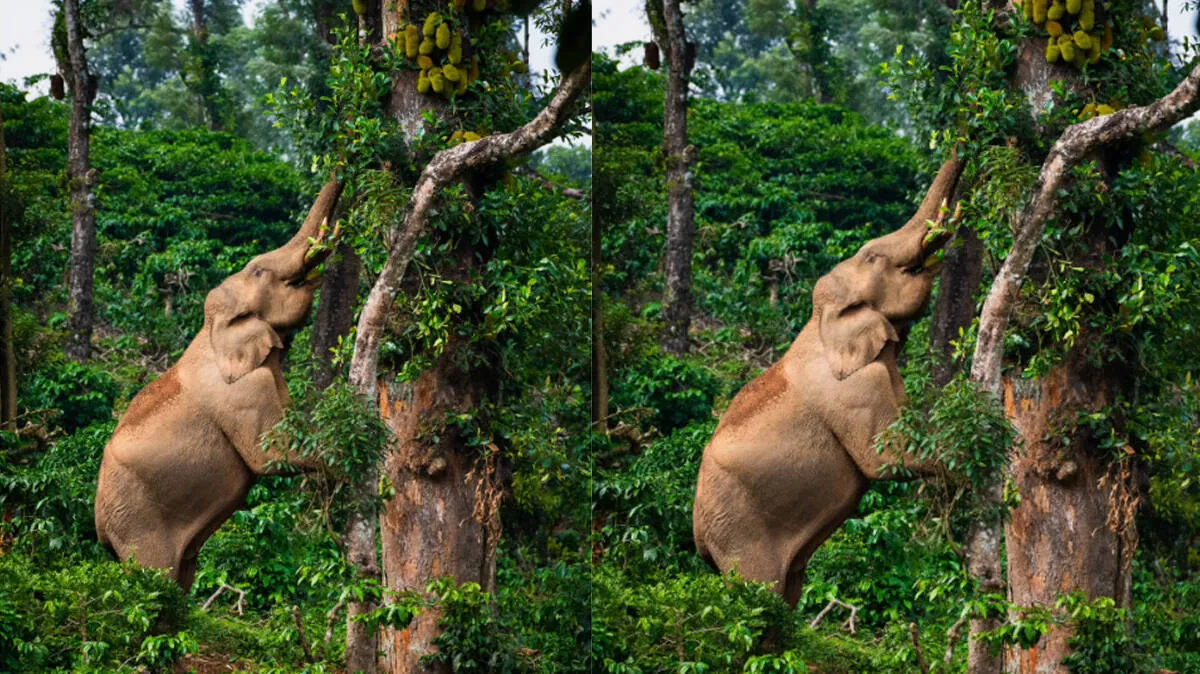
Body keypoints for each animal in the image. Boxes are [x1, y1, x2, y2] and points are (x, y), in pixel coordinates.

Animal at [94, 181, 343, 591]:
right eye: (259, 272)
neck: (211, 327)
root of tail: (99, 528)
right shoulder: (243, 393)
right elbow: (274, 456)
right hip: (135, 521)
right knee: (156, 580)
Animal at [692, 158, 964, 607]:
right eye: (873, 257)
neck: (820, 318)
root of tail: (698, 539)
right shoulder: (854, 390)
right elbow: (888, 458)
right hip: (737, 531)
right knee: (760, 595)